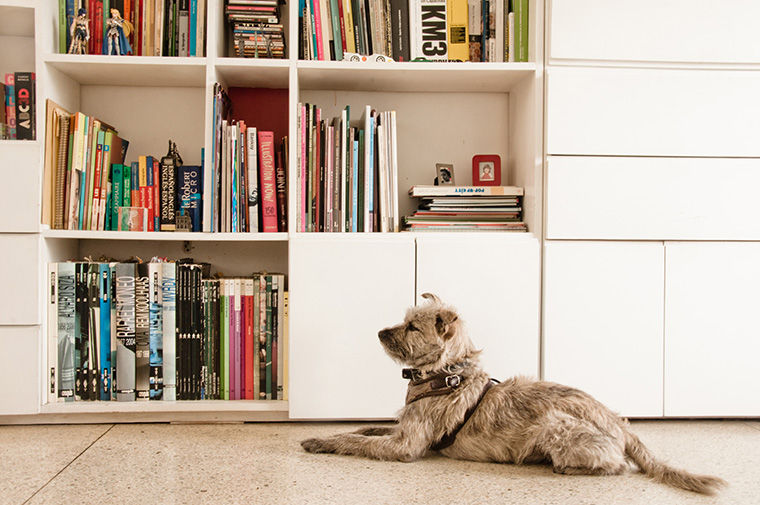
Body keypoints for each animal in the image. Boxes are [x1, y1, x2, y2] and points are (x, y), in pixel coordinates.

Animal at [300, 292, 728, 492]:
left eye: (412, 327)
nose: (379, 333)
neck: (445, 374)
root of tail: (620, 424)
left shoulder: (405, 446)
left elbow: (358, 443)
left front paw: (323, 441)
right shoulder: (401, 429)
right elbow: (366, 430)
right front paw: (343, 431)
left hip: (558, 426)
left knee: (618, 464)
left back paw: (571, 466)